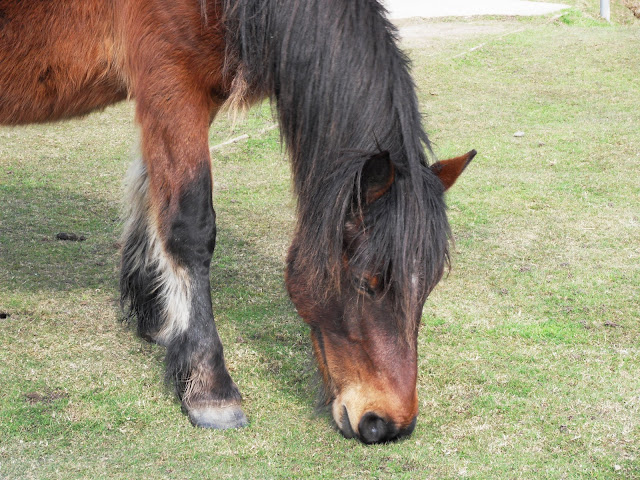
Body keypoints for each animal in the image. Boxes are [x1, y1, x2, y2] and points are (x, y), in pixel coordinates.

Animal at [1, 0, 476, 446]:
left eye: (429, 284)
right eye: (367, 281)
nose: (389, 424)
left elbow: (150, 198)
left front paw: (158, 322)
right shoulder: (172, 82)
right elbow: (189, 225)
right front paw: (208, 388)